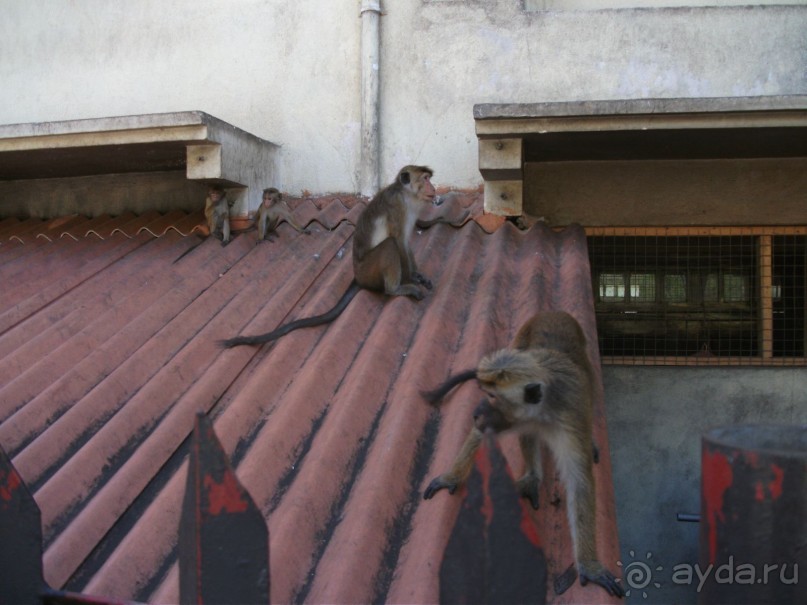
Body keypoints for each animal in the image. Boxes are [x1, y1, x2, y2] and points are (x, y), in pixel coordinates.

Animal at [219, 164, 436, 350]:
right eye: (425, 179)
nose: (433, 187)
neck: (407, 195)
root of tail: (358, 277)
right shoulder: (398, 206)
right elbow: (398, 241)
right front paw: (409, 279)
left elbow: (405, 242)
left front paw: (418, 275)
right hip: (369, 270)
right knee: (390, 244)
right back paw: (394, 289)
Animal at [422, 314, 624, 596]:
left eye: (493, 396)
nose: (476, 412)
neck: (541, 409)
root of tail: (552, 313)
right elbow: (483, 433)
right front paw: (452, 477)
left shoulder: (569, 417)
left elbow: (579, 481)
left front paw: (588, 564)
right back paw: (531, 477)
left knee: (589, 383)